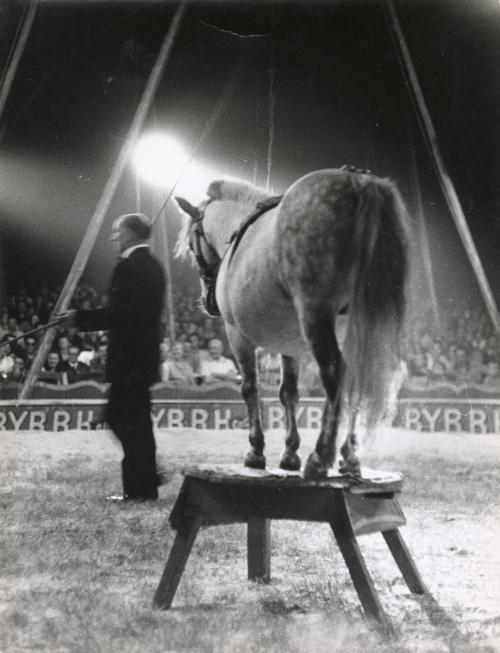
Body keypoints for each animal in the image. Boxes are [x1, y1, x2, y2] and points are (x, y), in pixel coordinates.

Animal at [176, 166, 410, 476]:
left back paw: (321, 456)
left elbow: (250, 388)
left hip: (315, 315)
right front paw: (289, 453)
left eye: (192, 244)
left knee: (334, 373)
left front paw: (256, 451)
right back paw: (349, 457)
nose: (208, 301)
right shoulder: (289, 343)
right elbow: (289, 393)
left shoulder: (236, 334)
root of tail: (358, 181)